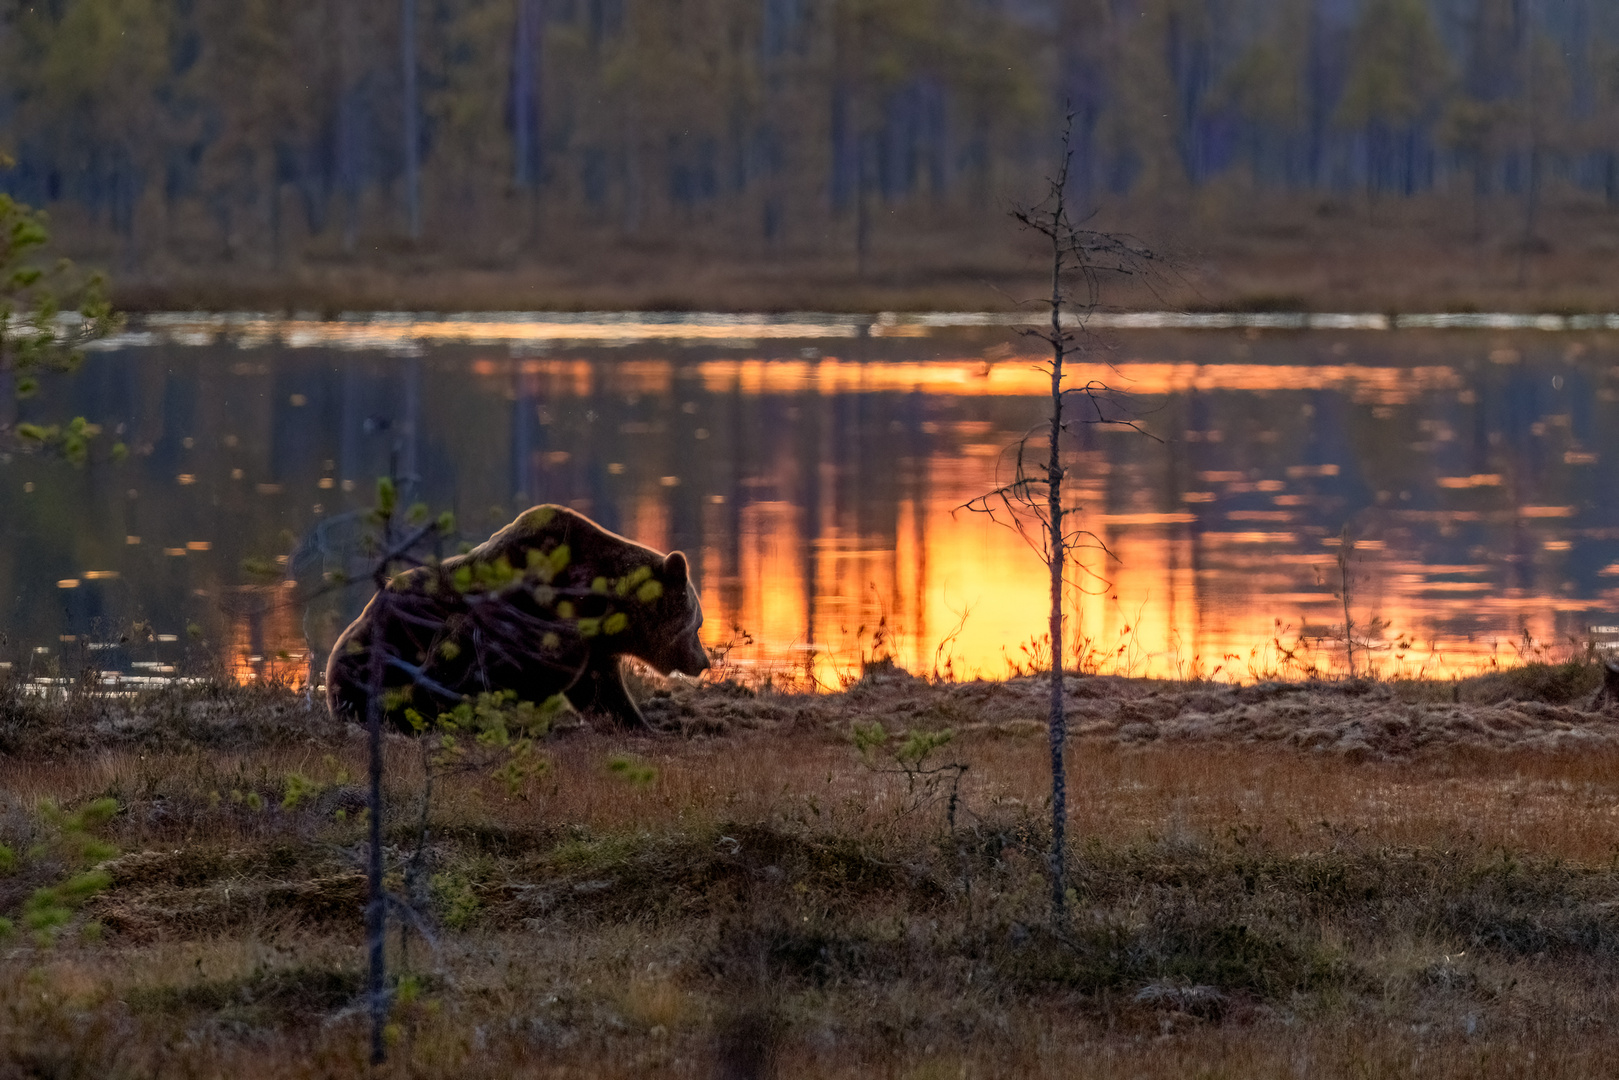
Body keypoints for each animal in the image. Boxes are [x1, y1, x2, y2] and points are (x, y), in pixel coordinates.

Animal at [325, 505, 709, 730]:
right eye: (698, 624)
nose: (704, 661)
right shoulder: (532, 610)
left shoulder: (598, 648)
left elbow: (603, 689)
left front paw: (641, 724)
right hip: (386, 653)